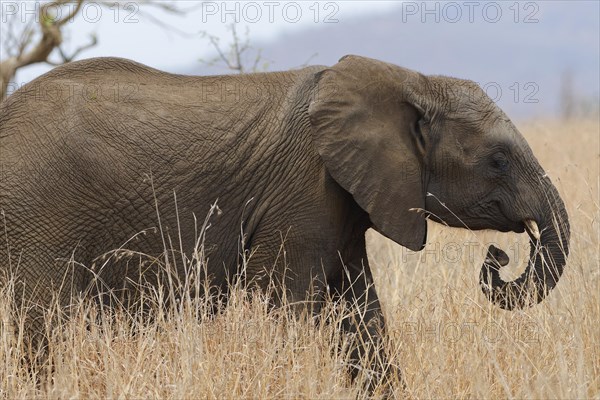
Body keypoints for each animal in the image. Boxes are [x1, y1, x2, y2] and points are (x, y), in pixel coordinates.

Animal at [0, 54, 572, 392]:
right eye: (498, 160)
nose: (499, 257)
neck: (411, 81)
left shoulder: (343, 202)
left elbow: (361, 315)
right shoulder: (304, 192)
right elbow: (283, 305)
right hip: (37, 215)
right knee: (42, 323)